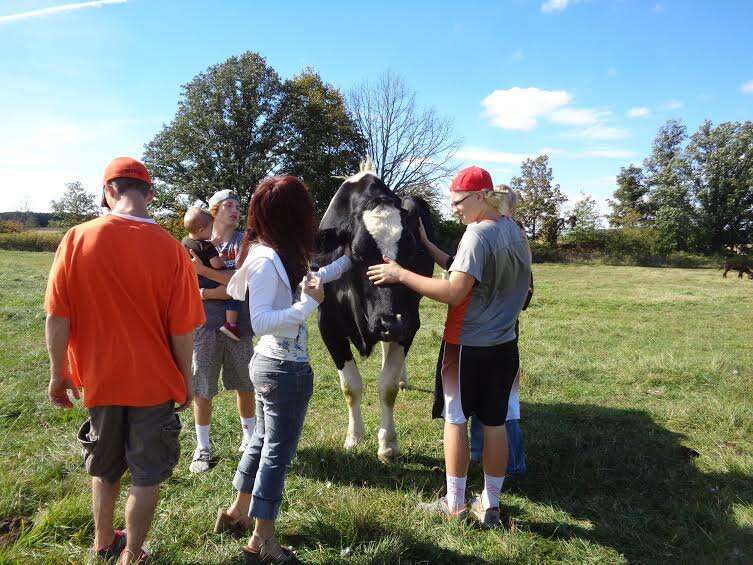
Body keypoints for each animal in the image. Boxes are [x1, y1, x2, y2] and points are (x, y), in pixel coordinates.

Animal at [318, 161, 434, 460]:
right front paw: (354, 437)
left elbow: (387, 387)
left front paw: (388, 443)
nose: (391, 323)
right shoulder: (328, 327)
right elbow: (351, 387)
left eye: (412, 252)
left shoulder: (410, 323)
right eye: (359, 254)